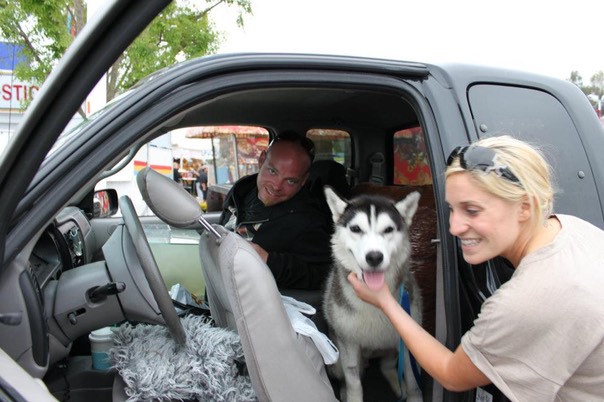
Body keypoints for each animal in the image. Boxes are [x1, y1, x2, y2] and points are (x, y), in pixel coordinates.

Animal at [324, 188, 422, 402]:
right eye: (356, 229)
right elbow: (353, 380)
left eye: (388, 230)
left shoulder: (409, 340)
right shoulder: (348, 341)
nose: (374, 257)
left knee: (387, 367)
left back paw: (398, 385)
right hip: (338, 357)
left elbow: (413, 379)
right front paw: (352, 396)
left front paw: (414, 396)